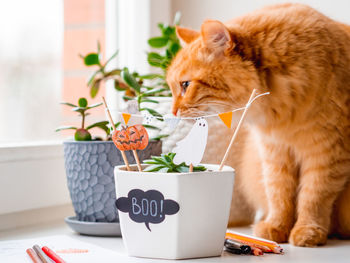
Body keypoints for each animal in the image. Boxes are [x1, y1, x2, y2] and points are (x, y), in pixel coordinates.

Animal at [166, 3, 350, 248]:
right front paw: (276, 227)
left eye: (186, 85)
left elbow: (313, 197)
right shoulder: (275, 151)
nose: (172, 111)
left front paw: (307, 231)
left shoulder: (327, 153)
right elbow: (279, 195)